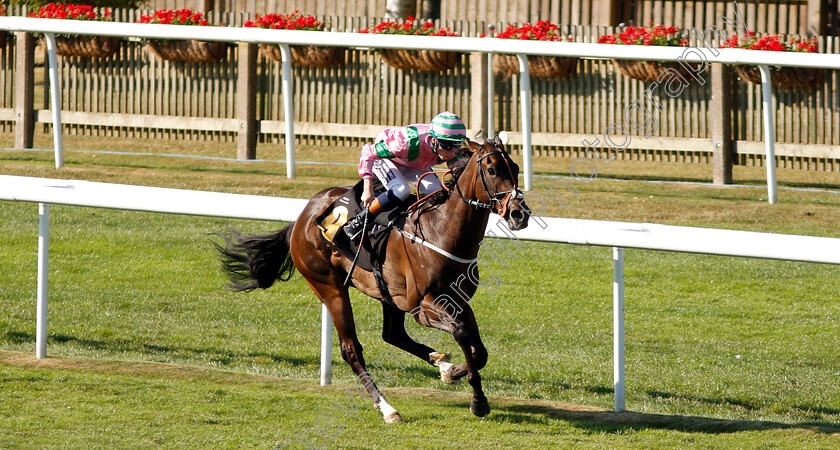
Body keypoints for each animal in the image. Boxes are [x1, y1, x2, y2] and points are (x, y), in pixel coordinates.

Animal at [217, 136, 532, 422]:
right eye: (491, 169)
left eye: (516, 167)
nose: (520, 213)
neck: (441, 230)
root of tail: (302, 217)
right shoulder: (423, 305)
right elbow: (462, 334)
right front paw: (477, 401)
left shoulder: (457, 300)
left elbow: (479, 351)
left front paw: (452, 372)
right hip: (329, 287)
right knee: (351, 350)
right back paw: (387, 408)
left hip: (386, 292)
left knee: (392, 334)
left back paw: (438, 363)